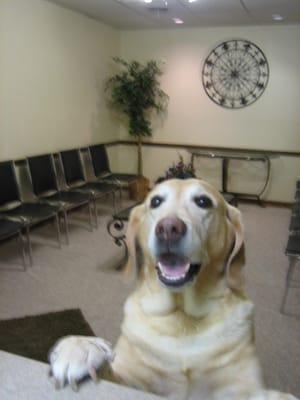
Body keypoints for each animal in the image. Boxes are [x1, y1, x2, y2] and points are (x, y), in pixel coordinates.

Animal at [48, 179, 298, 400]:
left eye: (203, 201)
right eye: (156, 201)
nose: (168, 228)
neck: (182, 315)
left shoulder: (241, 385)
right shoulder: (132, 377)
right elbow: (112, 374)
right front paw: (81, 349)